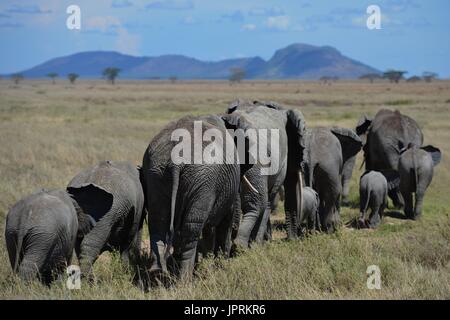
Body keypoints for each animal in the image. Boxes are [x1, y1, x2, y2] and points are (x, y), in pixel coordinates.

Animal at [142, 114, 250, 278]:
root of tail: (175, 162)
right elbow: (224, 222)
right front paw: (220, 266)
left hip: (155, 172)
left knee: (158, 221)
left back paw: (157, 272)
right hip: (203, 179)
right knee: (192, 226)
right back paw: (185, 278)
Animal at [224, 101, 308, 244]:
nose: (295, 239)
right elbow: (271, 199)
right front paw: (260, 243)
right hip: (256, 162)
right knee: (259, 201)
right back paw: (241, 244)